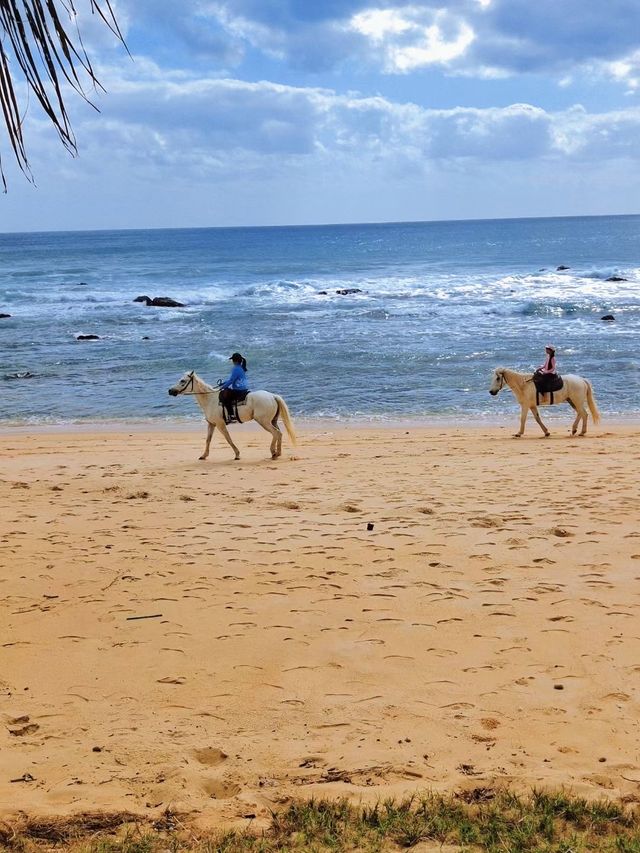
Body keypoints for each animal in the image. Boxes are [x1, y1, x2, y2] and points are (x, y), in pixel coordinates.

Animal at [169, 368, 298, 460]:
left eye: (182, 381)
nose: (170, 391)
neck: (210, 399)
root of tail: (272, 396)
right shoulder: (211, 424)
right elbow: (208, 440)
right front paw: (204, 455)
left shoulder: (220, 424)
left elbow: (228, 439)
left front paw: (237, 454)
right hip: (272, 421)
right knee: (279, 433)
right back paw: (278, 453)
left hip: (264, 422)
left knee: (276, 433)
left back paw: (274, 453)